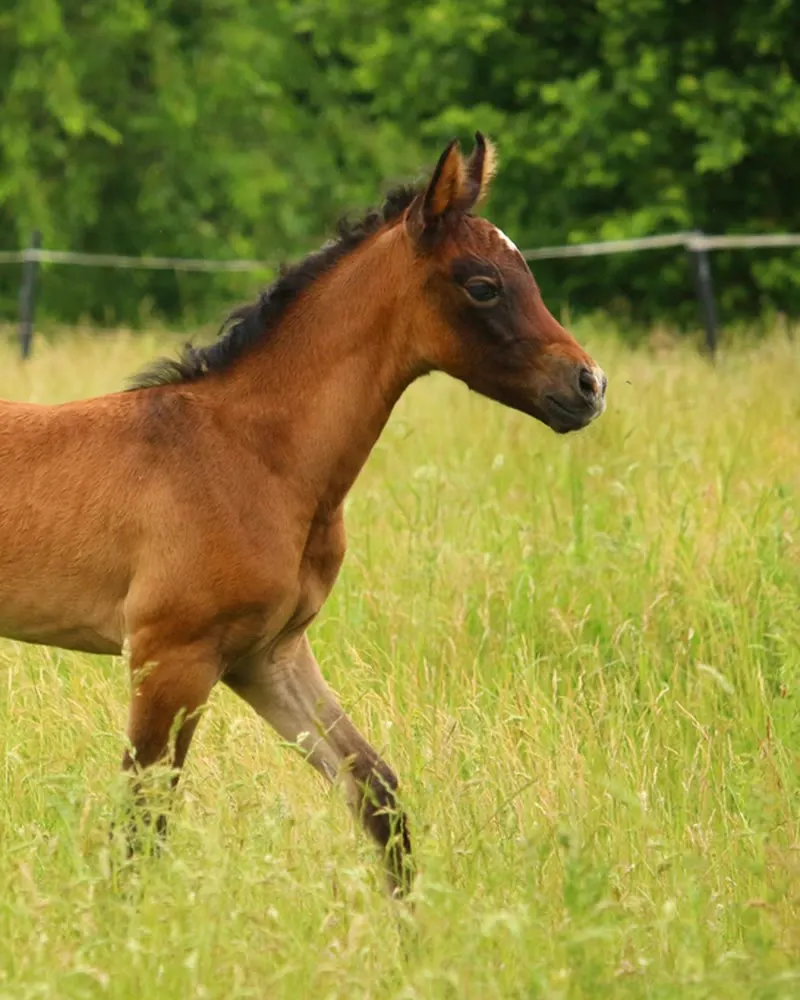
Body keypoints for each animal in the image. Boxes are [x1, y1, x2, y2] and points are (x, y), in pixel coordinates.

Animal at [0, 133, 606, 896]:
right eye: (483, 285)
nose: (588, 385)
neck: (251, 455)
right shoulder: (173, 657)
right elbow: (141, 825)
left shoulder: (268, 655)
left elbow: (376, 790)